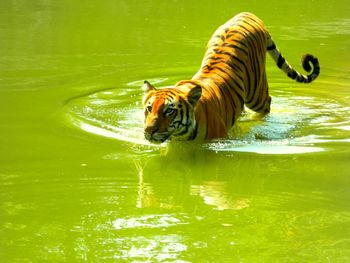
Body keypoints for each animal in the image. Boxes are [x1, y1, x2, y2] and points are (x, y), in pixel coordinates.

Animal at [142, 11, 320, 143]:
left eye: (169, 111)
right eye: (149, 108)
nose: (148, 131)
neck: (181, 135)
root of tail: (247, 13)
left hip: (256, 93)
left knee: (267, 104)